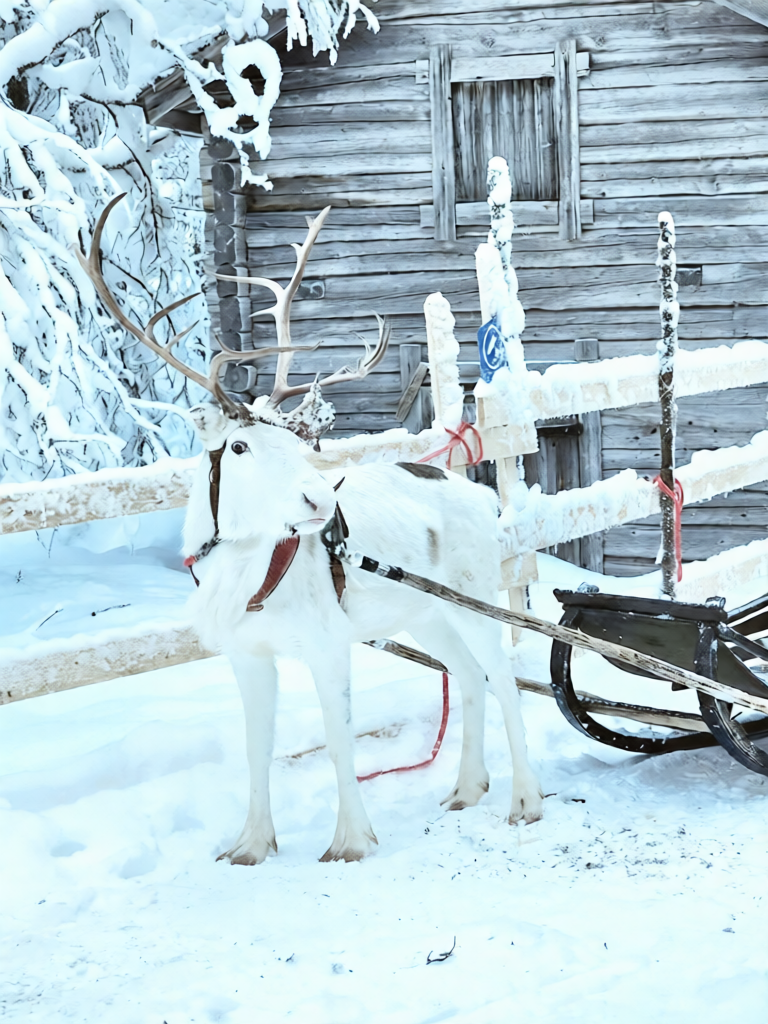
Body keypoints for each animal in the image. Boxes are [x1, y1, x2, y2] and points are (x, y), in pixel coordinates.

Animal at [77, 196, 543, 865]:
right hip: (423, 613)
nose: (322, 499)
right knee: (468, 677)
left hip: (473, 595)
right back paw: (465, 788)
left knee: (505, 679)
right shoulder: (247, 655)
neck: (243, 579)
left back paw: (525, 800)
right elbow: (257, 747)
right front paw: (249, 845)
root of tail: (482, 495)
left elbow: (339, 739)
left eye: (301, 445)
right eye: (239, 445)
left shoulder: (327, 643)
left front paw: (351, 840)